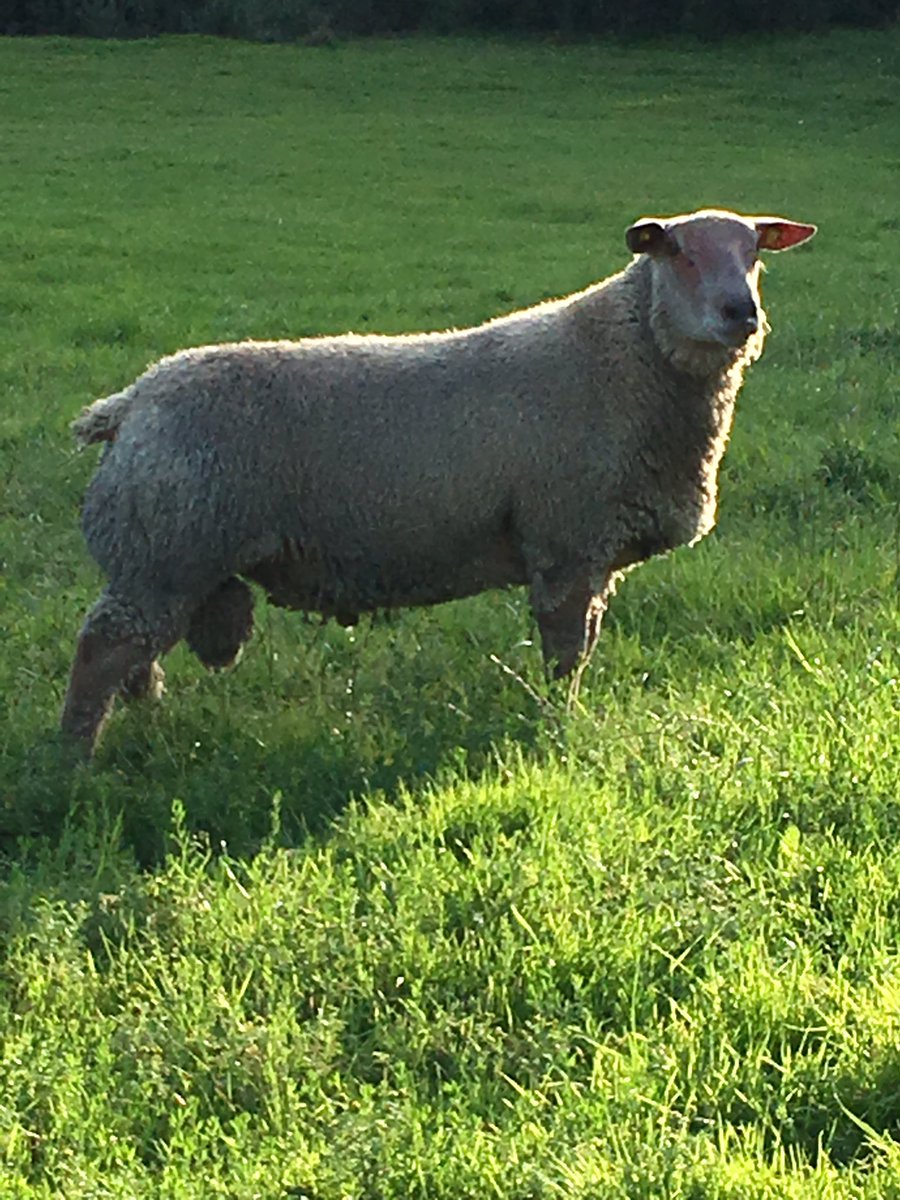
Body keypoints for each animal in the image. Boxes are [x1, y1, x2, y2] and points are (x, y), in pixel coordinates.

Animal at [61, 207, 816, 755]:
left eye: (754, 254)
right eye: (678, 252)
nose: (741, 313)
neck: (622, 357)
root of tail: (131, 402)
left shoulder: (590, 550)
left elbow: (584, 644)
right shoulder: (566, 541)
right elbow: (566, 654)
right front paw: (557, 724)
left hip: (169, 562)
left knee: (136, 655)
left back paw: (145, 723)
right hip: (166, 549)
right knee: (101, 650)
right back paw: (74, 761)